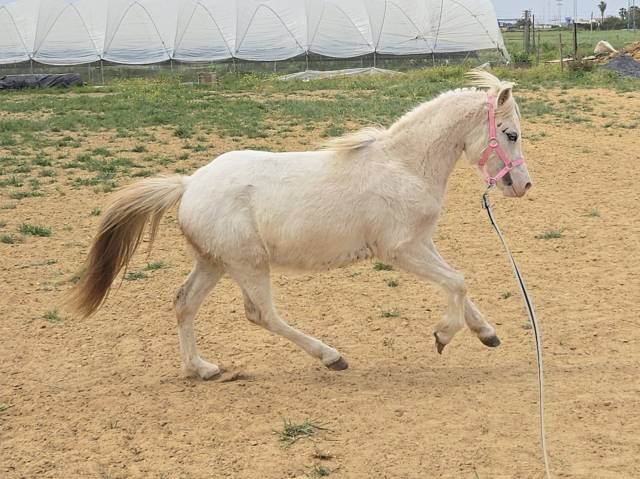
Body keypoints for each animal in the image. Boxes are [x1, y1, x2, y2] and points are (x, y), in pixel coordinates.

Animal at [68, 70, 532, 380]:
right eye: (510, 134)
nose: (523, 185)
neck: (403, 165)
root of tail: (188, 184)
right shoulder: (402, 250)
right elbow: (457, 282)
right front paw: (443, 335)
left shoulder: (422, 243)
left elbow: (457, 282)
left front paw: (486, 333)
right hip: (249, 264)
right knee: (262, 314)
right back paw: (332, 357)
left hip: (214, 263)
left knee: (184, 303)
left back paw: (202, 368)